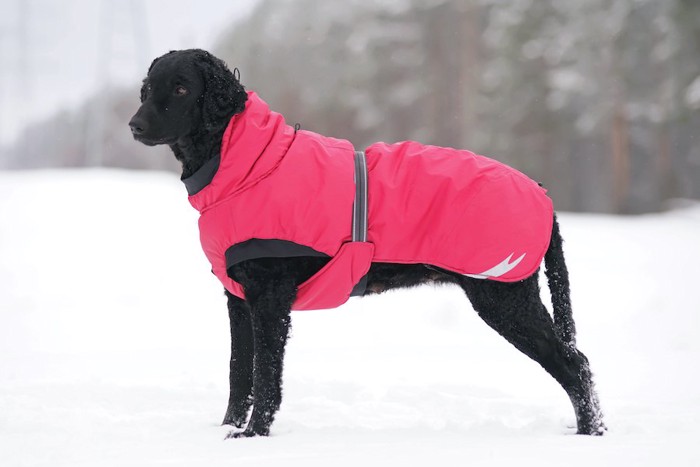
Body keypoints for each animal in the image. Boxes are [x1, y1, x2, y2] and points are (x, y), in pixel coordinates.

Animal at [129, 48, 604, 438]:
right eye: (148, 89)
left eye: (182, 87)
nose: (135, 125)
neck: (246, 162)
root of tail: (543, 193)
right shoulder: (238, 299)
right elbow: (238, 375)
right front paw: (225, 431)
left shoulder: (269, 299)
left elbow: (265, 378)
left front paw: (253, 437)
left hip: (505, 299)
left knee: (575, 364)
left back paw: (590, 434)